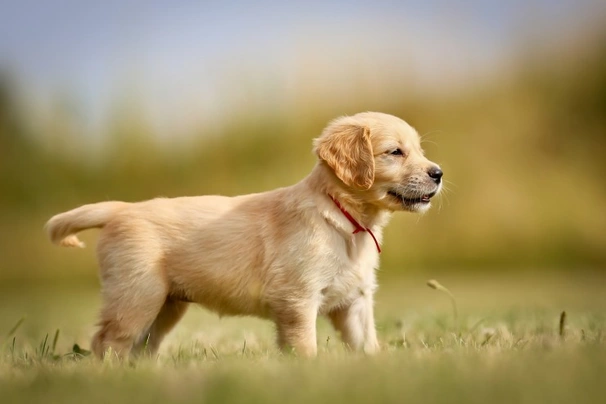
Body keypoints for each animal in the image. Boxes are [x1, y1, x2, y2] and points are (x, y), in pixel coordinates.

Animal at [45, 112, 444, 358]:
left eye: (419, 150)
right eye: (395, 152)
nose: (438, 173)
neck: (344, 219)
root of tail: (120, 209)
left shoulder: (356, 301)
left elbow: (367, 346)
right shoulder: (297, 299)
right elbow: (305, 347)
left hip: (164, 305)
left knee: (140, 347)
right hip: (136, 295)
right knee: (108, 341)